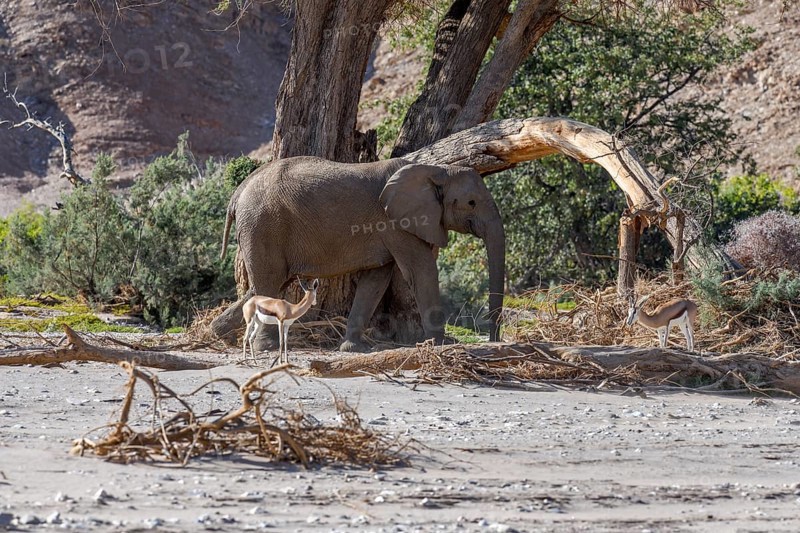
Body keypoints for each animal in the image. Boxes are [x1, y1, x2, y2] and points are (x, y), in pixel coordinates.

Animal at [213, 156, 505, 352]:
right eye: (471, 203)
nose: (495, 341)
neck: (437, 170)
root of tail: (237, 193)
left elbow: (376, 280)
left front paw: (354, 348)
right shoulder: (396, 223)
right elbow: (421, 271)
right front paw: (441, 344)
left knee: (266, 285)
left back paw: (219, 333)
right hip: (263, 227)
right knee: (268, 283)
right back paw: (265, 347)